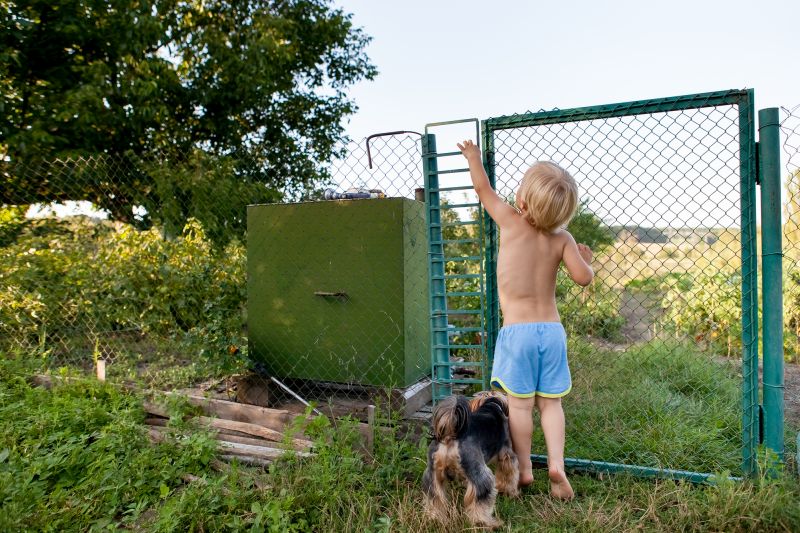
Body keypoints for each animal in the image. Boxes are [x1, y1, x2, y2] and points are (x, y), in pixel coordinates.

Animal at [422, 390, 520, 528]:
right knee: (480, 496)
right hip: (478, 470)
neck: (491, 405)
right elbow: (509, 474)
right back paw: (484, 522)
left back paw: (435, 518)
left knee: (435, 496)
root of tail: (451, 436)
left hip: (433, 473)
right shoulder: (506, 454)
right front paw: (510, 492)